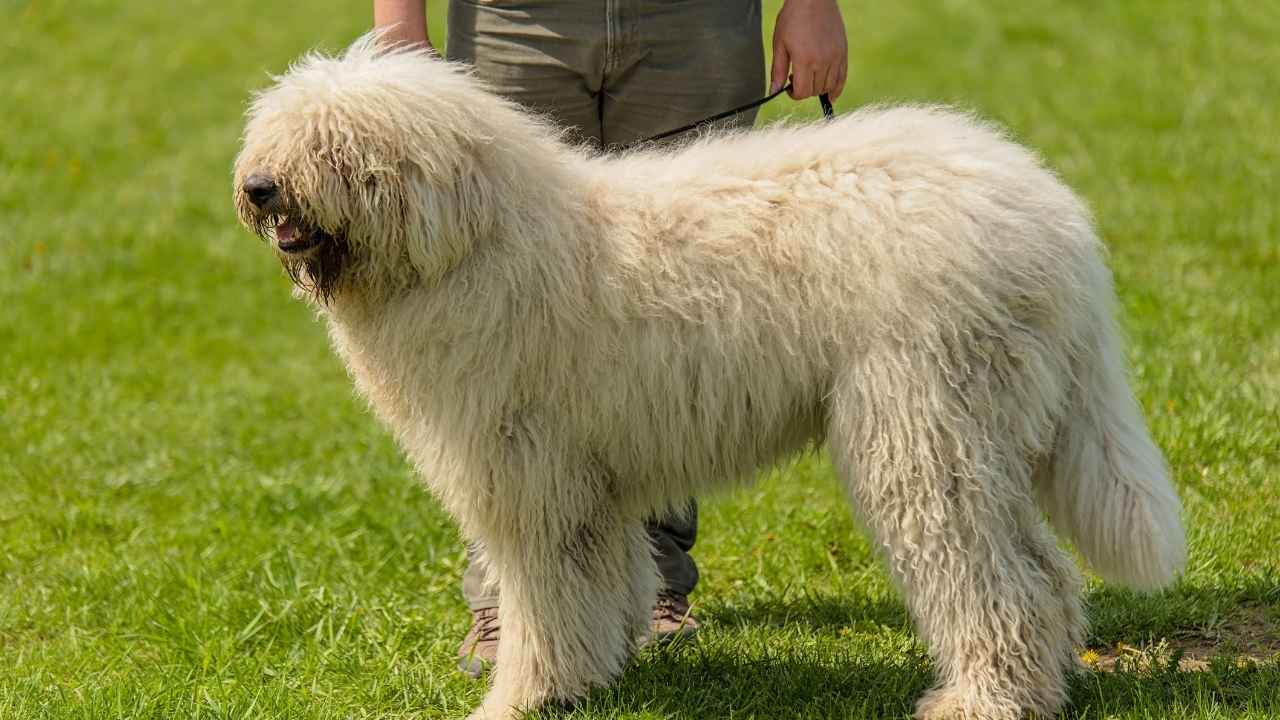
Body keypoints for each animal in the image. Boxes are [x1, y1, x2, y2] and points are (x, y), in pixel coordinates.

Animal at [232, 36, 1187, 712]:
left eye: (337, 148)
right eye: (278, 134)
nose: (260, 187)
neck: (475, 240)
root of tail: (1055, 221)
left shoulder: (528, 473)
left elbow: (545, 597)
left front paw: (522, 697)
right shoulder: (586, 479)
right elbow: (595, 584)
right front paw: (594, 676)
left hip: (923, 429)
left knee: (997, 582)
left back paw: (982, 701)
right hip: (988, 430)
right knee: (1043, 572)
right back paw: (1045, 680)